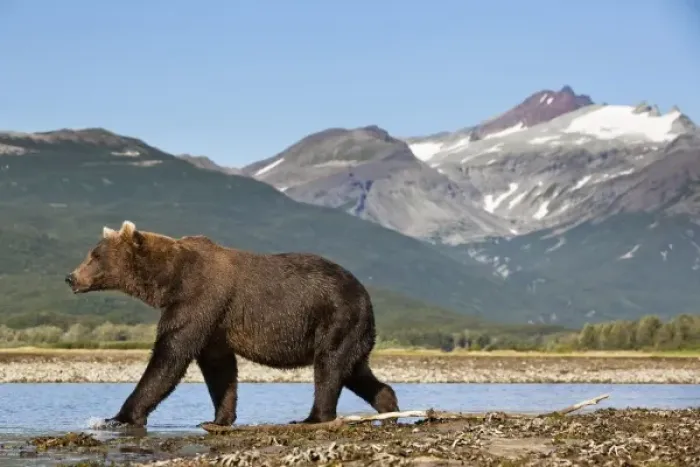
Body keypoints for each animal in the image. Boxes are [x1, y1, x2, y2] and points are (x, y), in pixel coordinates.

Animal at [65, 220, 399, 428]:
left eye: (94, 255)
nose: (71, 277)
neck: (169, 280)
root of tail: (364, 295)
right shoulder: (214, 322)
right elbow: (219, 368)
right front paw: (218, 418)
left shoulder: (200, 299)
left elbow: (170, 355)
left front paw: (119, 416)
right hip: (354, 330)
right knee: (352, 369)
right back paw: (389, 407)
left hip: (337, 316)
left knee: (329, 367)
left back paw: (314, 417)